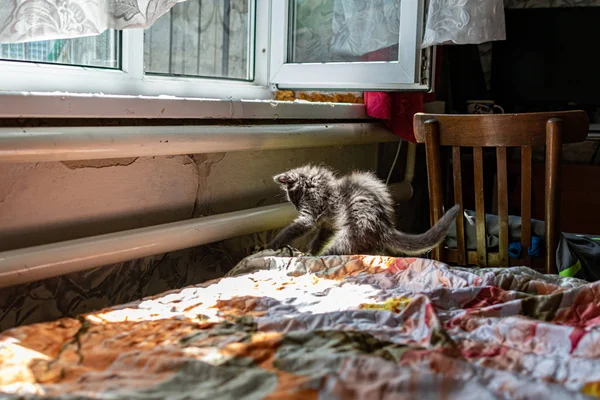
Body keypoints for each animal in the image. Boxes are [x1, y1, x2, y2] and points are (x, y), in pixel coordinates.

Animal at [268, 165, 460, 256]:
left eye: (294, 199)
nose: (296, 207)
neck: (321, 185)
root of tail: (385, 227)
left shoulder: (312, 212)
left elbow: (293, 228)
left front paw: (273, 245)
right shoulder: (327, 225)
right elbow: (318, 239)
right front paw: (312, 250)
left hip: (353, 230)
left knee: (339, 249)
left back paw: (314, 258)